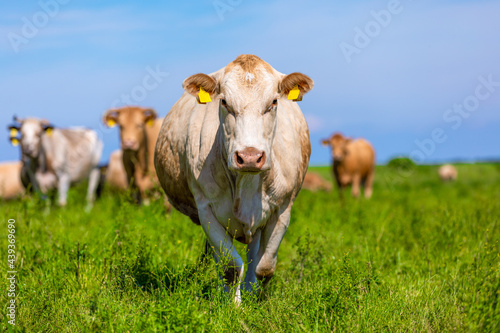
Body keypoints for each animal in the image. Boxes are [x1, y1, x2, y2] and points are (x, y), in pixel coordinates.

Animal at [154, 53, 314, 300]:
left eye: (273, 102)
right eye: (224, 102)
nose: (249, 156)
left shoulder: (282, 209)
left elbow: (264, 267)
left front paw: (259, 301)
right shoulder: (206, 210)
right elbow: (230, 267)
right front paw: (232, 305)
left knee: (253, 255)